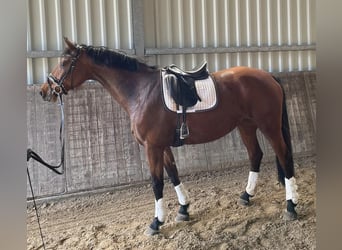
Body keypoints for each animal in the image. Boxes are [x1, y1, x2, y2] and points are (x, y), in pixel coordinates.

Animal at [39, 37, 296, 236]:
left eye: (64, 62)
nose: (44, 91)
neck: (141, 92)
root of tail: (268, 76)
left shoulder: (151, 147)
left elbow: (157, 182)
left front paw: (156, 223)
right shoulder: (162, 146)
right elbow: (173, 173)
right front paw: (183, 209)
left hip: (269, 127)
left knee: (283, 156)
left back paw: (291, 206)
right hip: (246, 126)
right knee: (256, 155)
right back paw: (246, 196)